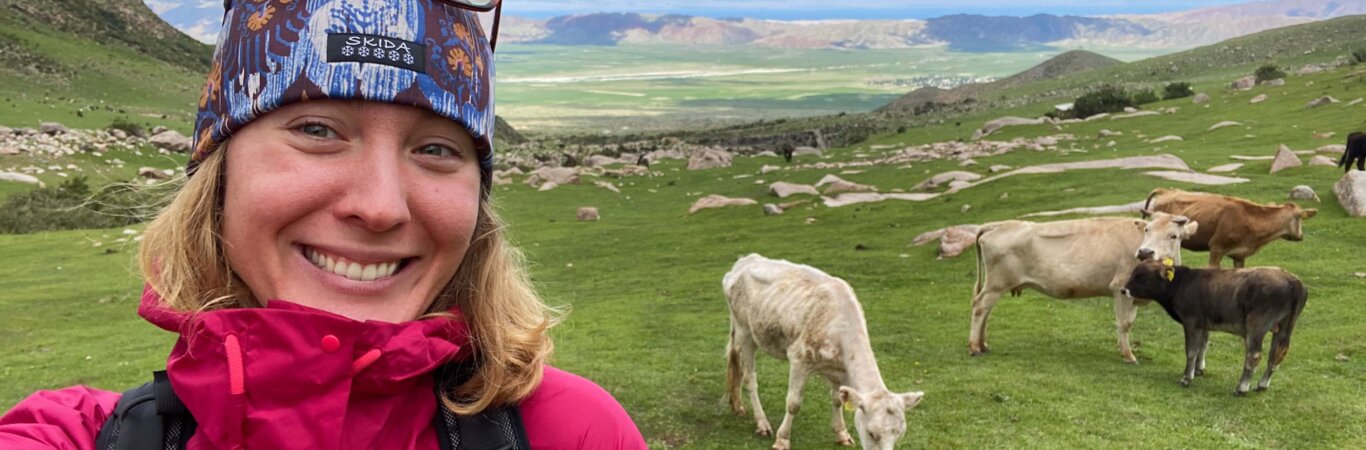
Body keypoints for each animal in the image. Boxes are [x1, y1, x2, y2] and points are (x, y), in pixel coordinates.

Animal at [721, 251, 923, 448]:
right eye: (872, 433)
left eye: (899, 434)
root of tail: (746, 260)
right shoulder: (799, 359)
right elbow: (793, 403)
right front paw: (782, 439)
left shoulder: (839, 369)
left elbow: (838, 399)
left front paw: (842, 434)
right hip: (745, 332)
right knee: (750, 378)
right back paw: (762, 423)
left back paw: (738, 406)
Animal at [972, 212, 1196, 363]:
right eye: (1147, 230)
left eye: (1173, 236)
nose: (1145, 252)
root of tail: (997, 225)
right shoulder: (1120, 289)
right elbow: (1124, 324)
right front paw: (1128, 355)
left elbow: (1128, 323)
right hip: (996, 284)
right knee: (979, 307)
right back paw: (974, 347)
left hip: (996, 285)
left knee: (986, 311)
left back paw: (983, 344)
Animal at [1120, 261, 1311, 393]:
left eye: (1142, 277)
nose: (1123, 290)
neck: (1184, 283)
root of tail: (1292, 281)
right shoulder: (1204, 324)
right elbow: (1202, 347)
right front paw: (1198, 370)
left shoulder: (1191, 322)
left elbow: (1191, 350)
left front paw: (1186, 378)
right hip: (1285, 327)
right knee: (1277, 354)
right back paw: (1262, 384)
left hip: (1257, 326)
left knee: (1254, 355)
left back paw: (1241, 388)